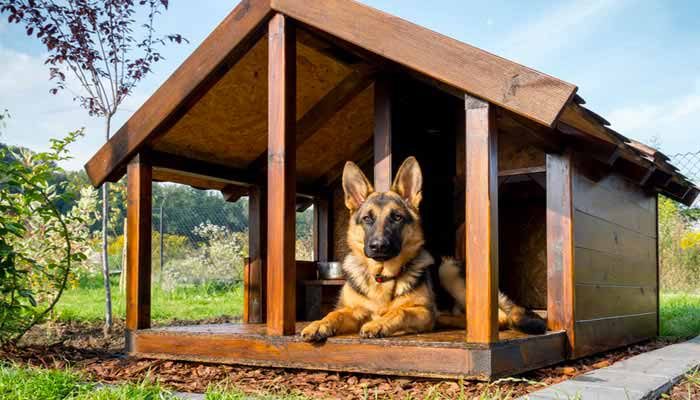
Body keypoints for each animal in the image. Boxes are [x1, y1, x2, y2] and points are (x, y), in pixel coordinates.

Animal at [300, 156, 548, 340]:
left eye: (397, 217)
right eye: (368, 219)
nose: (378, 246)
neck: (382, 278)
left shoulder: (419, 310)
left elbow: (399, 311)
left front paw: (379, 323)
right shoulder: (353, 310)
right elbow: (334, 313)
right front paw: (318, 324)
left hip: (447, 270)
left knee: (500, 317)